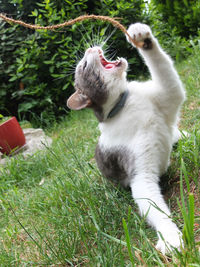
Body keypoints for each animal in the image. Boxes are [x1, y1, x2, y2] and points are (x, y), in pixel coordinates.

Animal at [67, 23, 186, 255]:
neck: (123, 105)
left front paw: (141, 35)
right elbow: (156, 208)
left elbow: (164, 70)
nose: (88, 48)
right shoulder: (140, 175)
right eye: (84, 65)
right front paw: (169, 236)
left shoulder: (168, 94)